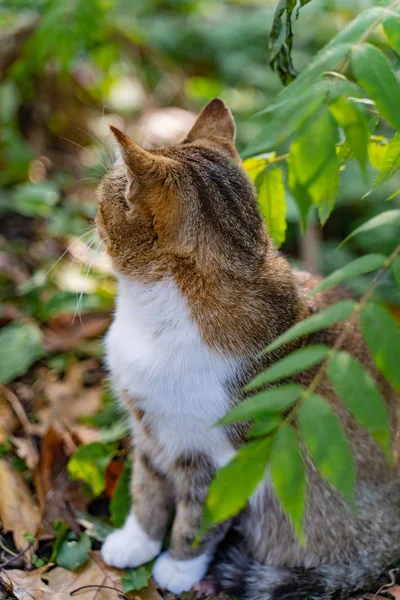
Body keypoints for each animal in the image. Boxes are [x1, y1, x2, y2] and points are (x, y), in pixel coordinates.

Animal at [97, 99, 400, 600]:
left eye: (105, 195)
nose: (90, 211)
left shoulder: (224, 455)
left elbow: (201, 516)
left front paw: (178, 567)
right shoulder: (148, 428)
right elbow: (146, 487)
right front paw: (137, 540)